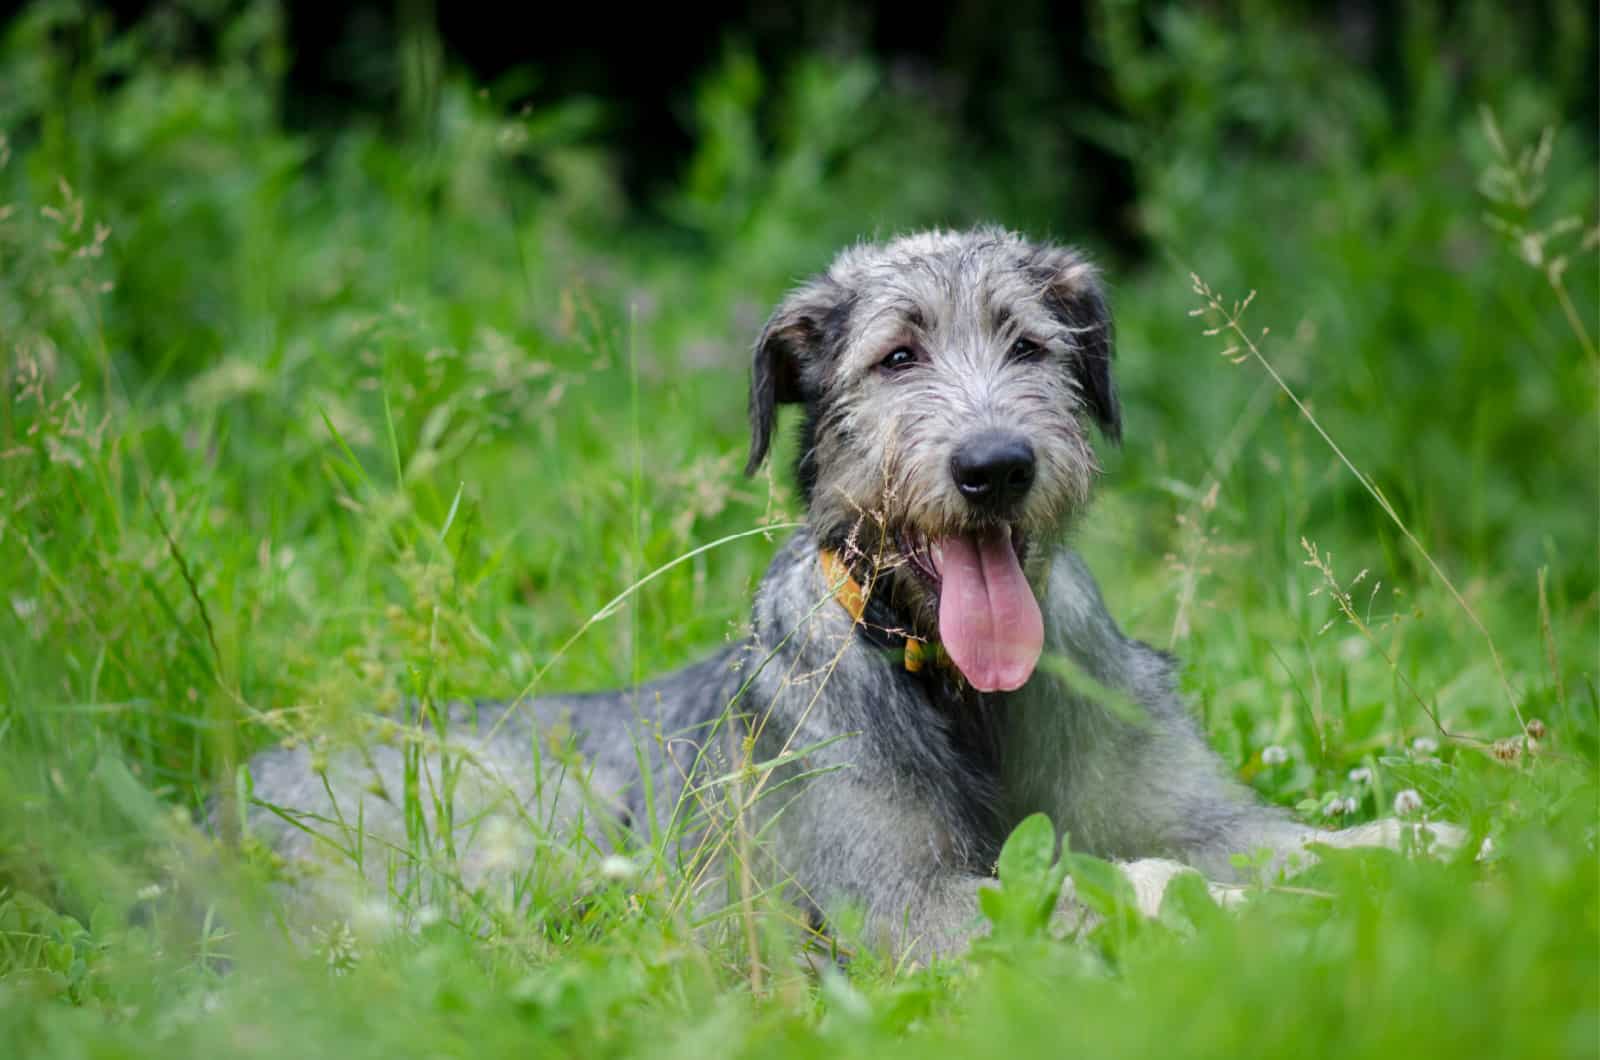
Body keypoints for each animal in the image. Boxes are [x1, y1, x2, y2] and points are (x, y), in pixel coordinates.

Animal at [240, 228, 1452, 960]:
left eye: (1029, 345)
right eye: (897, 357)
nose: (995, 466)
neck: (955, 689)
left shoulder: (1190, 810)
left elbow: (1280, 838)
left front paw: (1423, 844)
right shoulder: (905, 909)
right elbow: (1126, 886)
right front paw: (1252, 917)